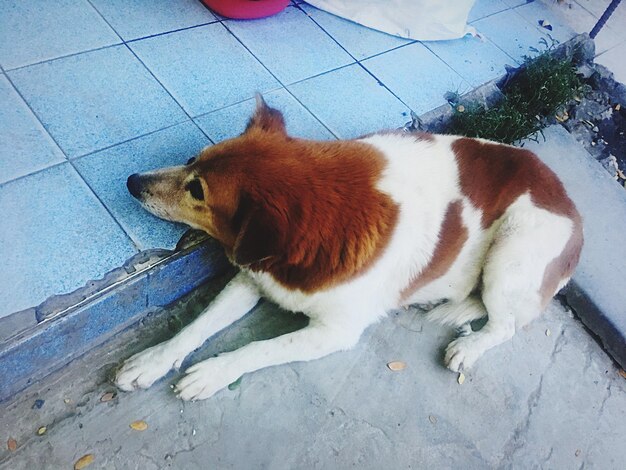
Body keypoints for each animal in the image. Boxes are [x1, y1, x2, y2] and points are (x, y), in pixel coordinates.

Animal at [114, 95, 584, 400]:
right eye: (192, 159)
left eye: (198, 191)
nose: (131, 182)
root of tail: (572, 207)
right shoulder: (253, 279)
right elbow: (196, 326)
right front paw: (153, 361)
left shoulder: (334, 331)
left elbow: (258, 348)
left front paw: (213, 371)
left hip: (513, 251)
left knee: (506, 324)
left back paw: (469, 345)